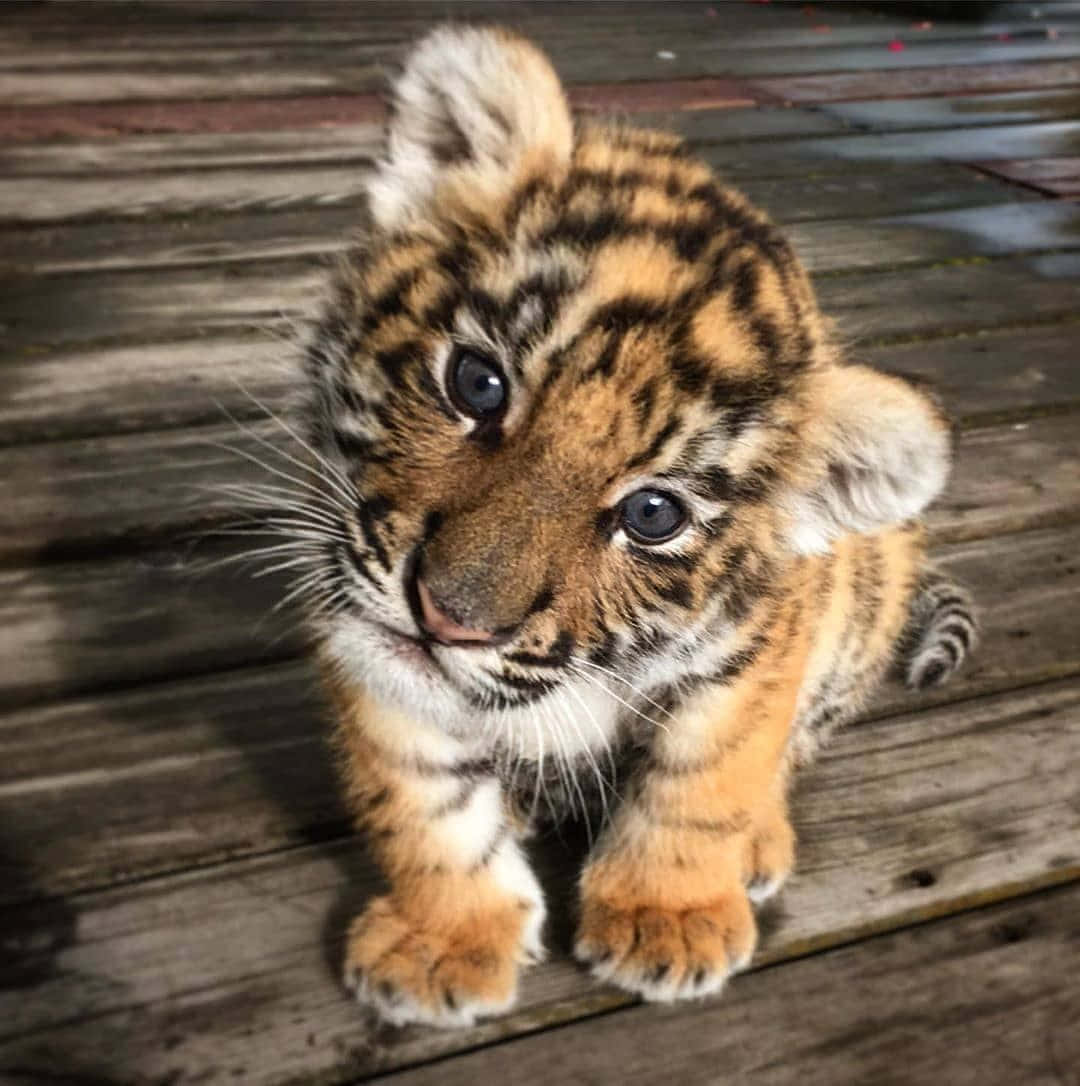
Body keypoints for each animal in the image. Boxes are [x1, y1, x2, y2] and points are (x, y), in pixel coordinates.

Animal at [288, 26, 977, 1028]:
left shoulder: (751, 656)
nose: (447, 618)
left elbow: (703, 781)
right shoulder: (362, 634)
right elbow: (422, 802)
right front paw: (444, 939)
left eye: (653, 515)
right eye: (476, 384)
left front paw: (669, 920)